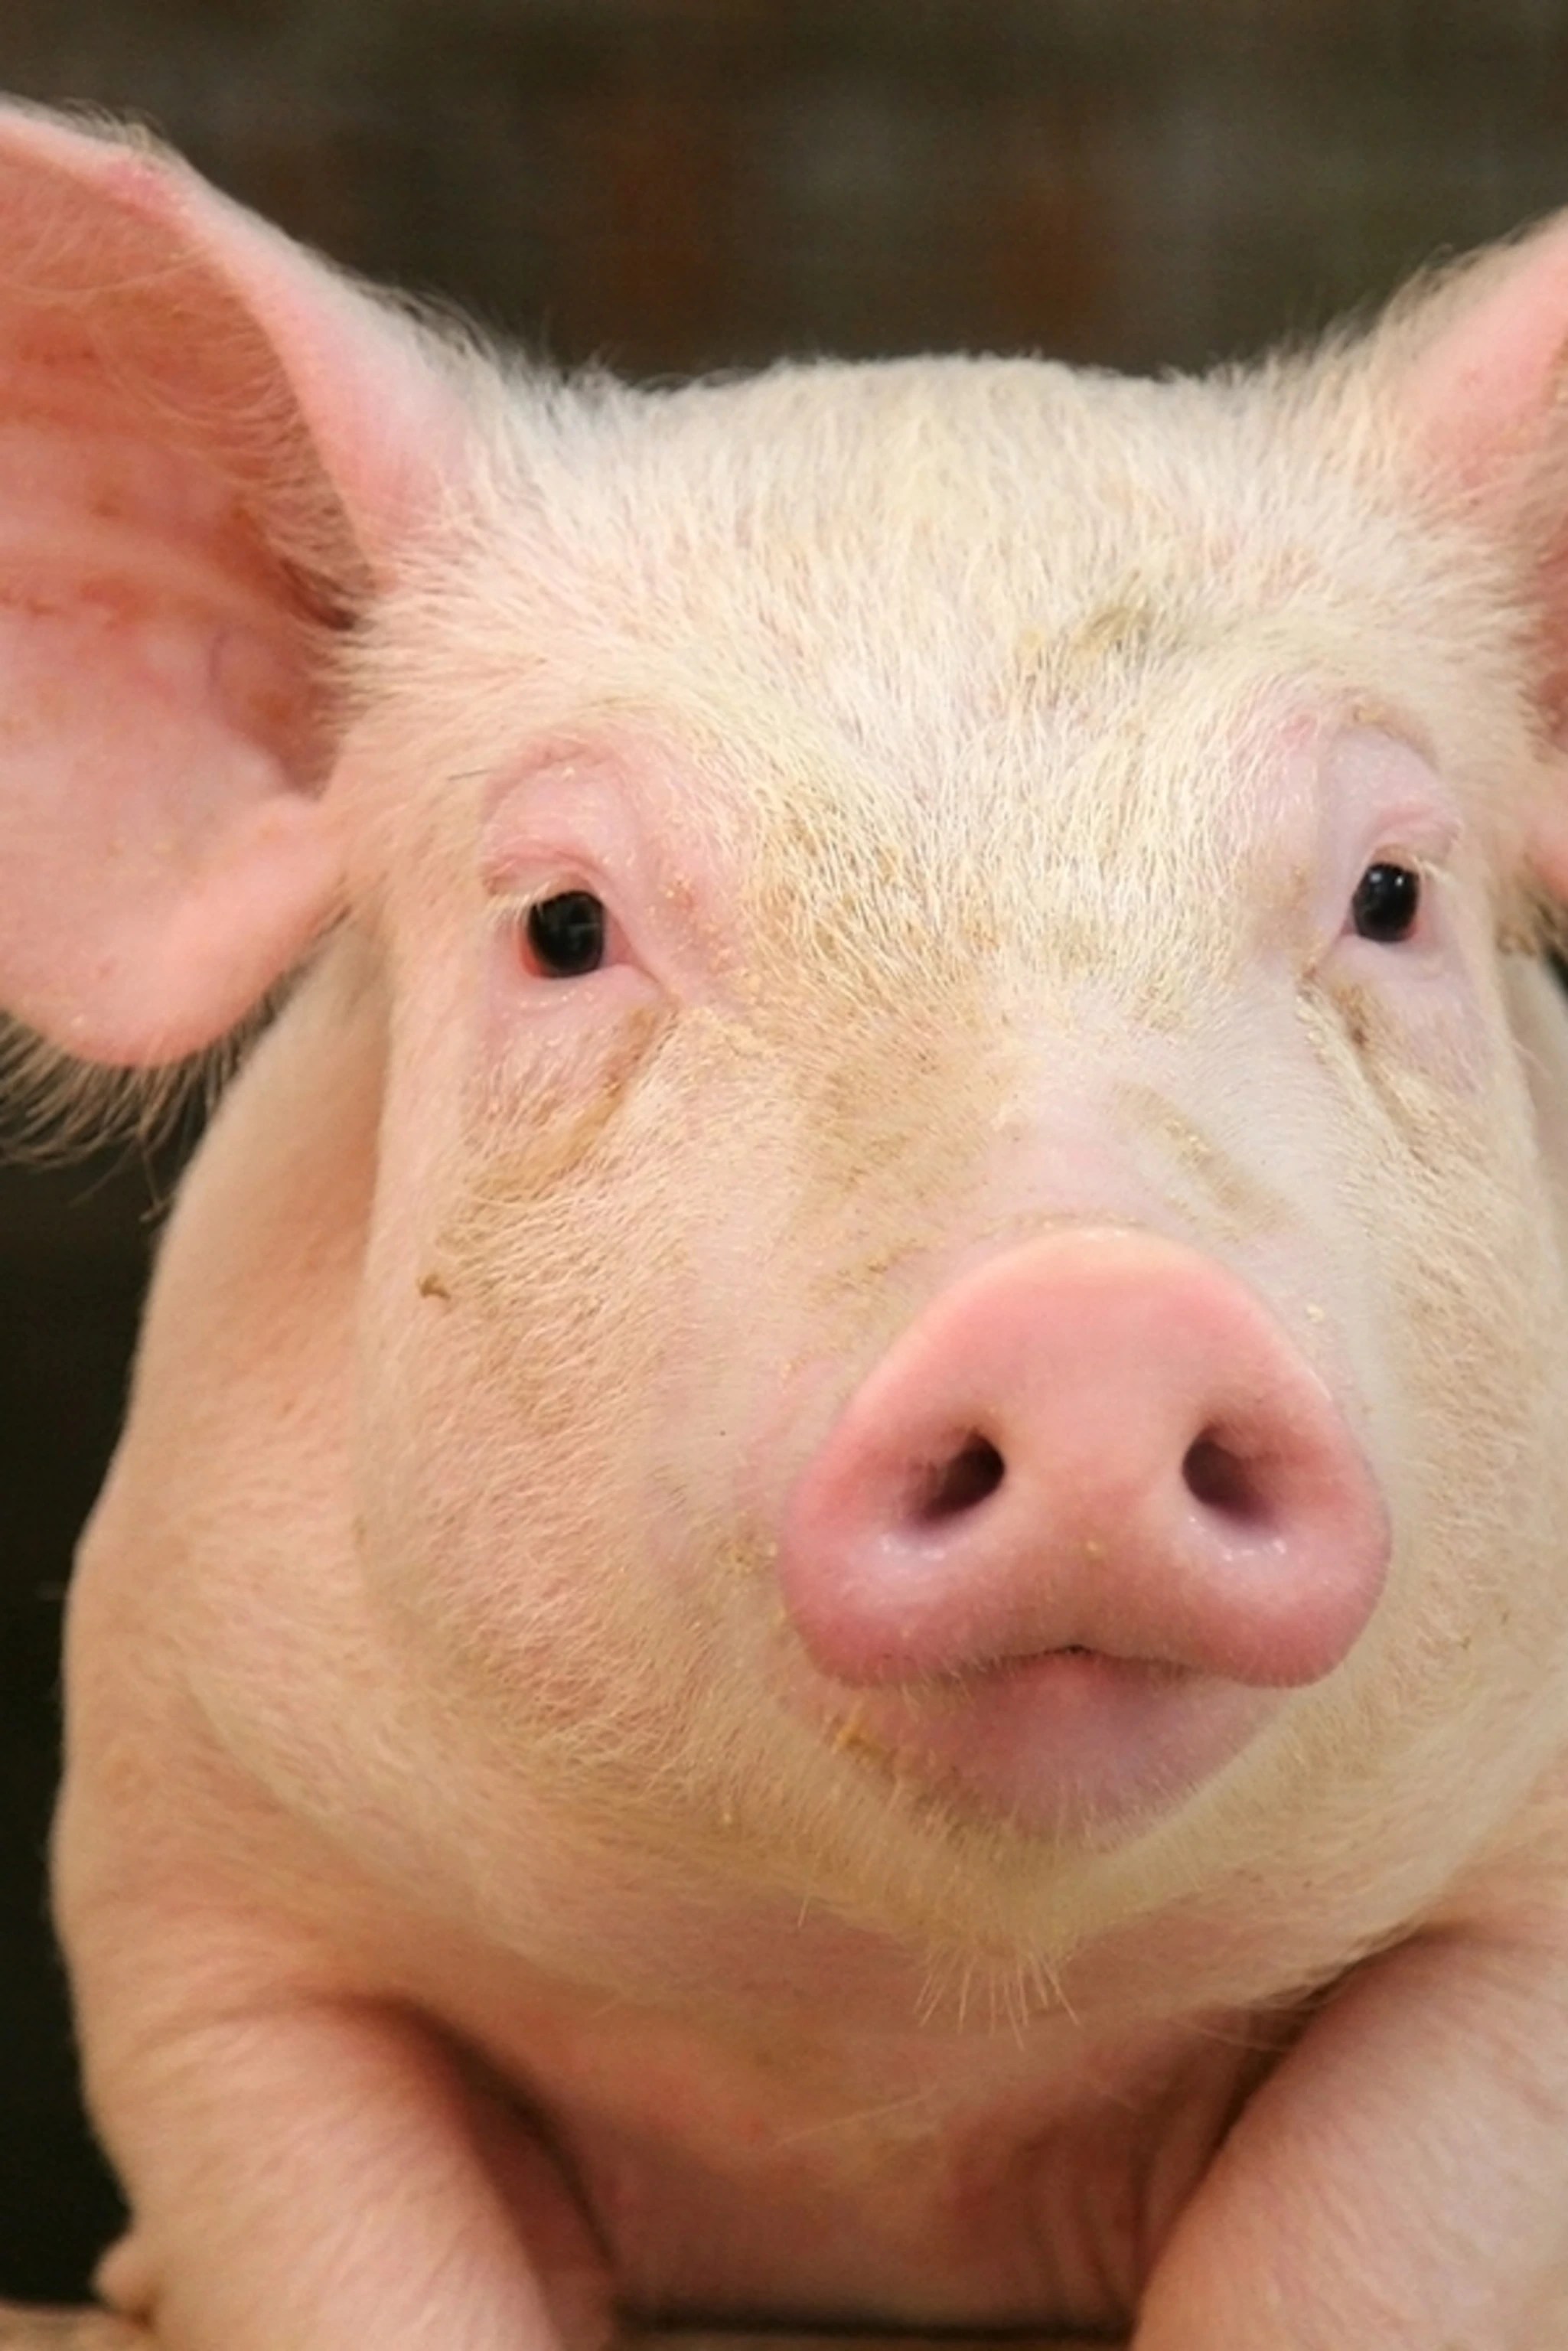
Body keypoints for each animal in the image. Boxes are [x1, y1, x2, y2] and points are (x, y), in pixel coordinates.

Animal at [4, 93, 1568, 2351]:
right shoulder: (189, 1870)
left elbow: (1353, 2233)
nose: (1086, 1310)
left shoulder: (1515, 1917)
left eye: (1388, 894)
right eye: (565, 924)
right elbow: (344, 2232)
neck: (891, 2064)